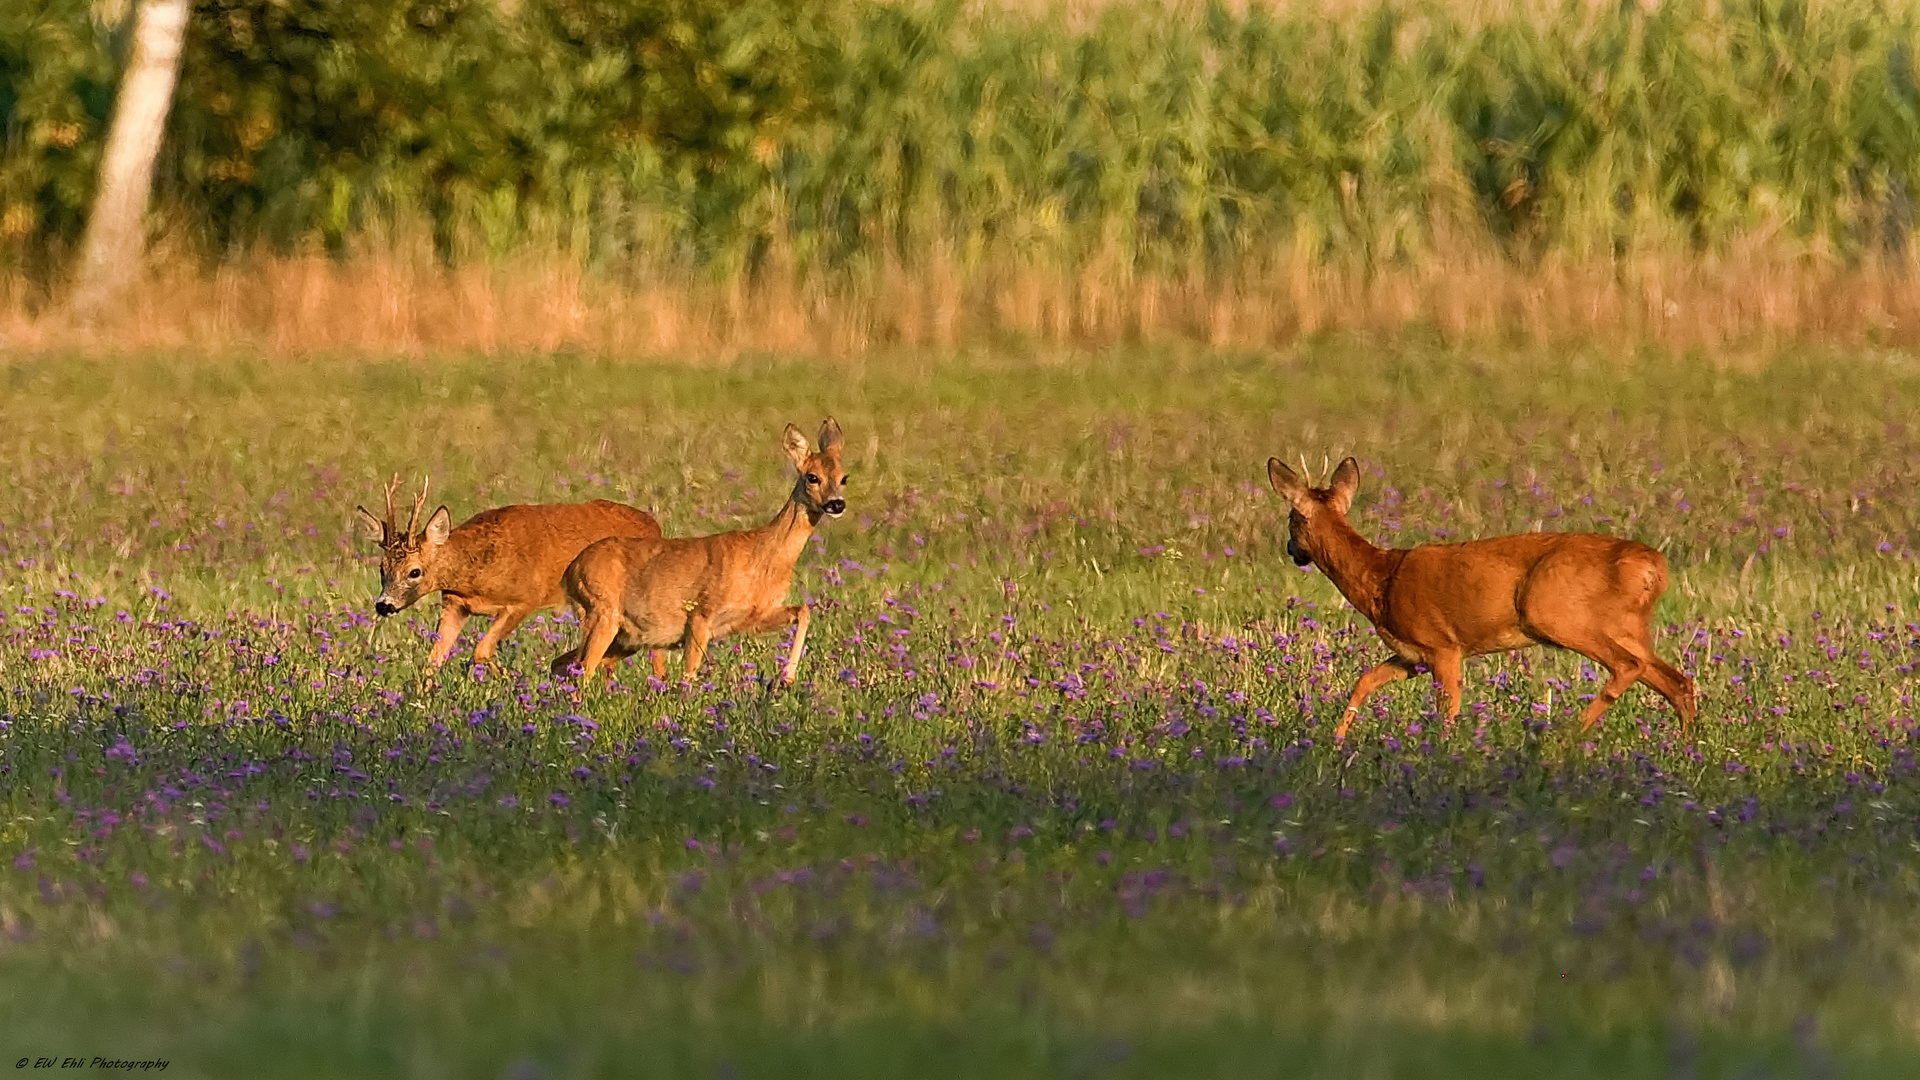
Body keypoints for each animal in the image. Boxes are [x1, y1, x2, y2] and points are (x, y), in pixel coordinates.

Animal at [355, 474, 668, 668]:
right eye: (382, 568)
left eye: (414, 572)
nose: (383, 605)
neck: (476, 572)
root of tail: (655, 526)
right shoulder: (455, 604)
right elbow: (434, 659)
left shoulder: (524, 600)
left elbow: (481, 651)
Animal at [556, 417, 856, 684]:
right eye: (812, 477)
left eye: (844, 478)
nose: (837, 504)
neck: (762, 558)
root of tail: (571, 570)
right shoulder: (702, 613)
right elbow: (689, 675)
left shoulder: (753, 618)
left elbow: (803, 610)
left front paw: (786, 679)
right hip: (602, 612)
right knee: (582, 671)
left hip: (627, 636)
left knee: (563, 664)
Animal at [1274, 453, 1697, 737]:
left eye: (1290, 519)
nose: (1291, 551)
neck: (1380, 579)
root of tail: (1652, 567)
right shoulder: (1412, 654)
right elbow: (1365, 680)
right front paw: (1337, 741)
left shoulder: (1442, 645)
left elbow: (1447, 711)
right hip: (1629, 626)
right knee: (1678, 682)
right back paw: (1685, 750)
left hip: (1556, 614)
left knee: (1629, 666)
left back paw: (1563, 739)